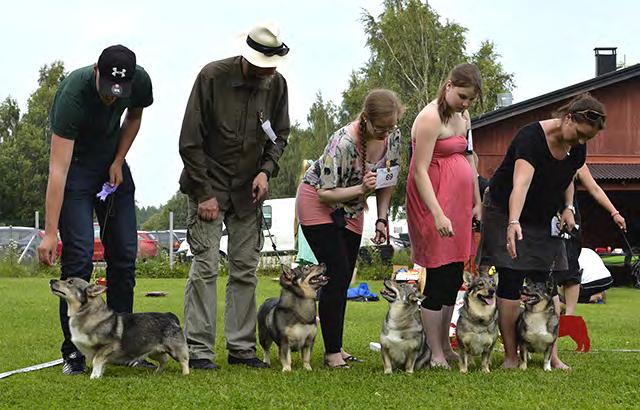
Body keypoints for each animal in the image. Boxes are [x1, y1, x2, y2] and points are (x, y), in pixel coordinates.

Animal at [48, 278, 189, 380]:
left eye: (70, 282)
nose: (51, 280)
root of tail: (170, 316)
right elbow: (100, 364)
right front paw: (99, 374)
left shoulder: (107, 347)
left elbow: (96, 360)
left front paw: (94, 376)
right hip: (154, 351)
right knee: (164, 360)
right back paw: (157, 372)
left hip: (175, 350)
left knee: (184, 361)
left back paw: (185, 374)